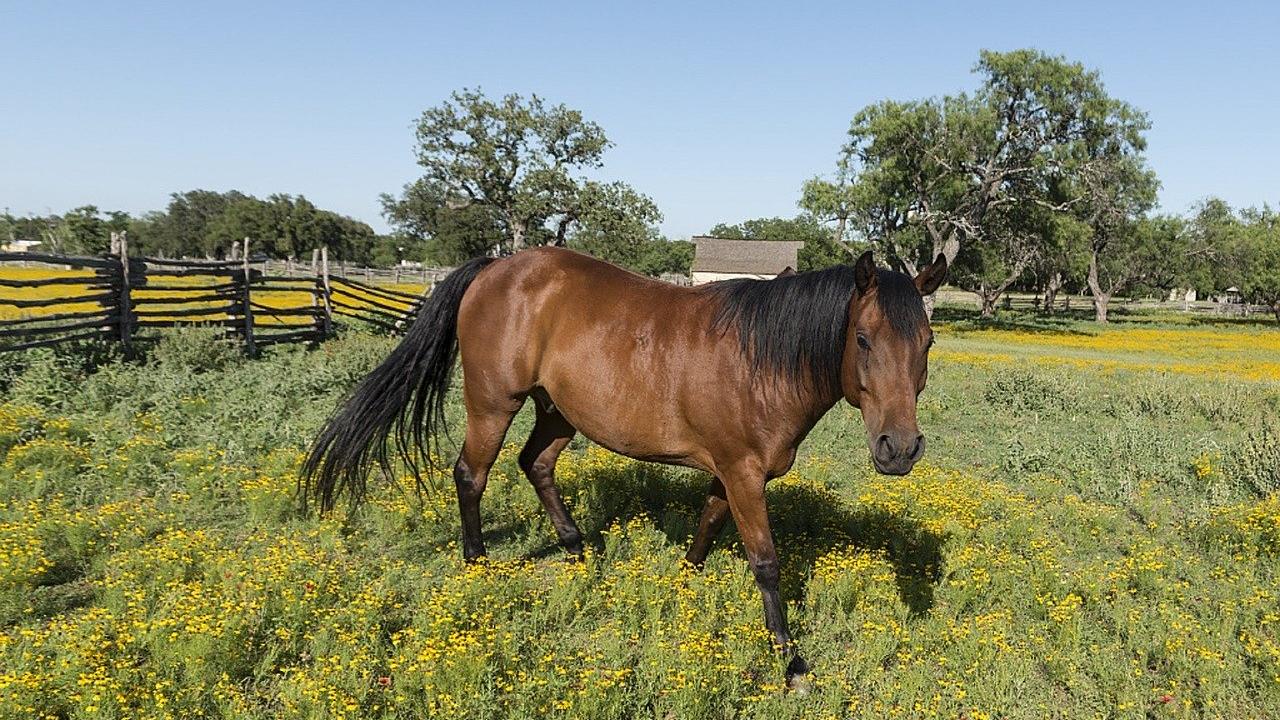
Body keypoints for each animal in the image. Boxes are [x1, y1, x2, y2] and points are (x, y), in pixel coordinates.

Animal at [307, 244, 952, 676]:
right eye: (863, 340)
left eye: (926, 343)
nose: (899, 449)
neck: (761, 359)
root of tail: (494, 267)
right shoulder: (742, 472)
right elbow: (766, 564)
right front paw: (790, 662)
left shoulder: (729, 472)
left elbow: (706, 528)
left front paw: (682, 589)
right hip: (493, 403)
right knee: (472, 474)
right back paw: (477, 563)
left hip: (558, 411)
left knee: (536, 465)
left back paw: (577, 552)